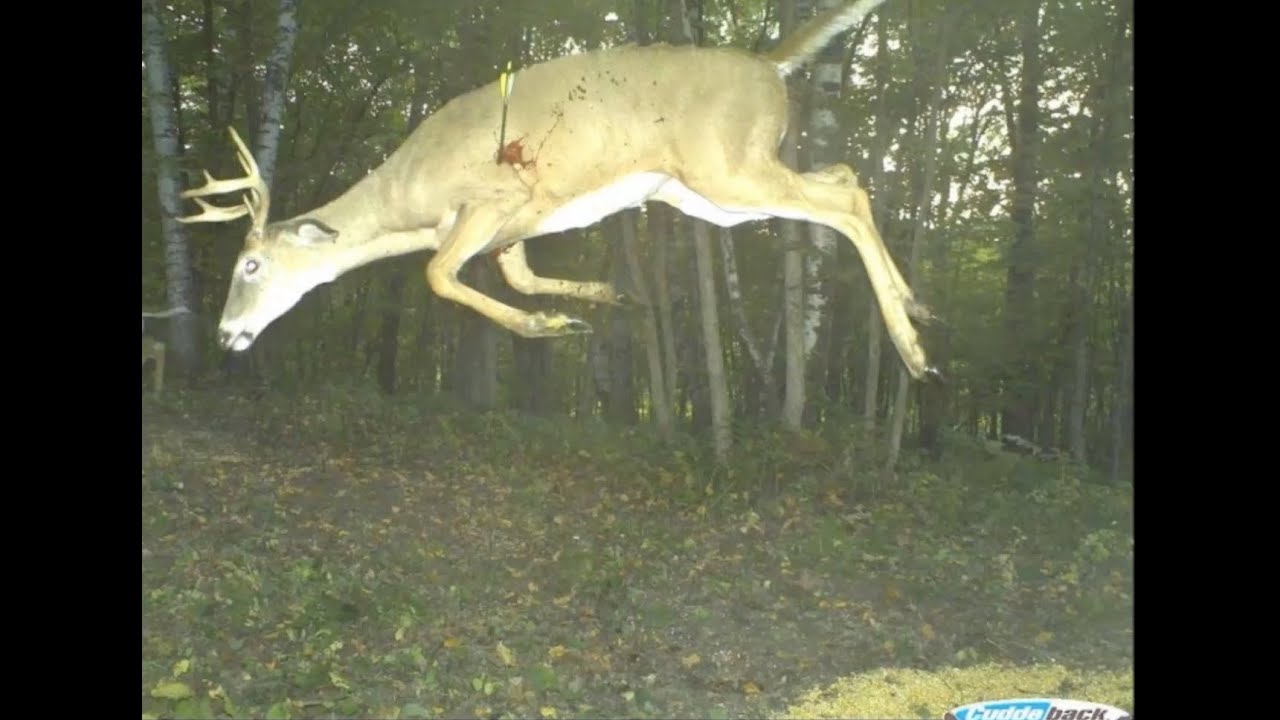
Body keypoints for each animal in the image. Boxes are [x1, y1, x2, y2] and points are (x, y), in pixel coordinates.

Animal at [180, 0, 936, 379]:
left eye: (251, 265)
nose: (224, 334)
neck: (404, 200)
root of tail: (770, 66)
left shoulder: (490, 200)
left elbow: (436, 274)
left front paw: (546, 326)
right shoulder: (517, 228)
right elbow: (518, 275)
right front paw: (603, 302)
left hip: (725, 167)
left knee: (844, 196)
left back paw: (914, 351)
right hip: (705, 192)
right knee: (844, 177)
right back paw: (916, 305)